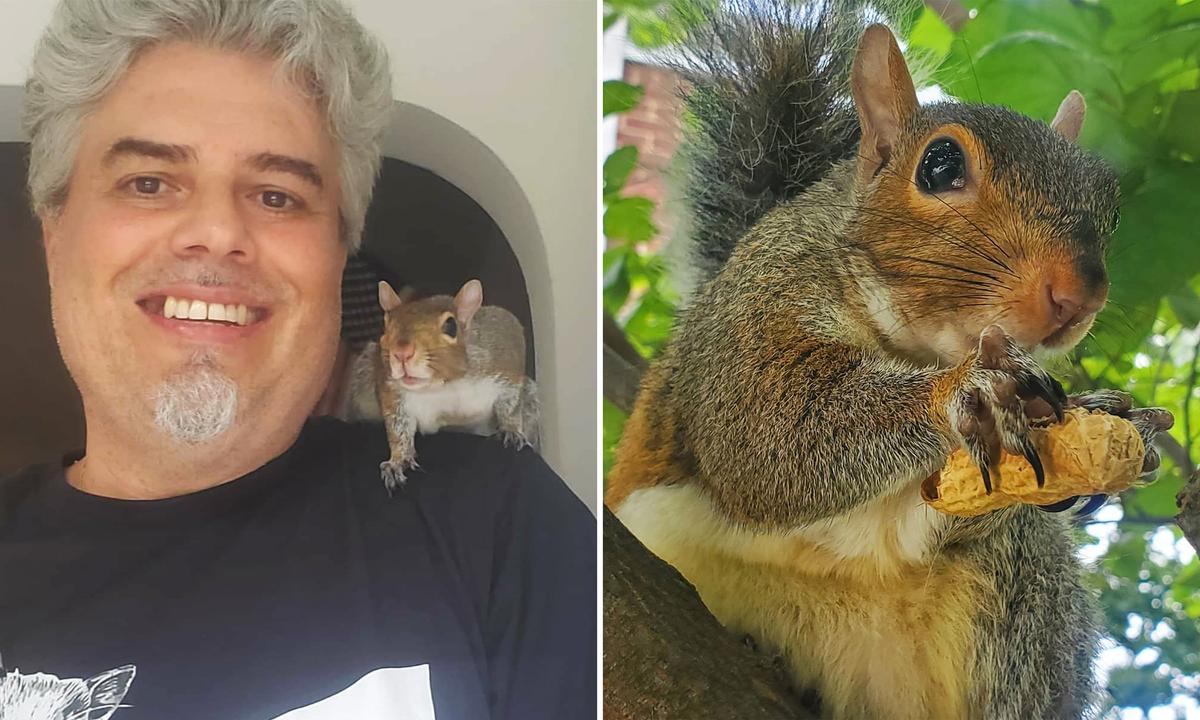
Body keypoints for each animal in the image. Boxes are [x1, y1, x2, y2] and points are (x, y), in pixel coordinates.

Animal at [348, 279, 540, 490]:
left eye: (451, 325)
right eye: (386, 324)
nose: (401, 353)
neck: (443, 385)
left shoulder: (504, 358)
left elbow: (510, 402)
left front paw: (511, 430)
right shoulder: (391, 390)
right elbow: (398, 427)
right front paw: (398, 460)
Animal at [605, 2, 1173, 719]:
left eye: (1110, 200)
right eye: (939, 166)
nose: (1078, 295)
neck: (915, 347)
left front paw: (1112, 418)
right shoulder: (753, 306)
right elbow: (762, 433)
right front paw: (971, 394)